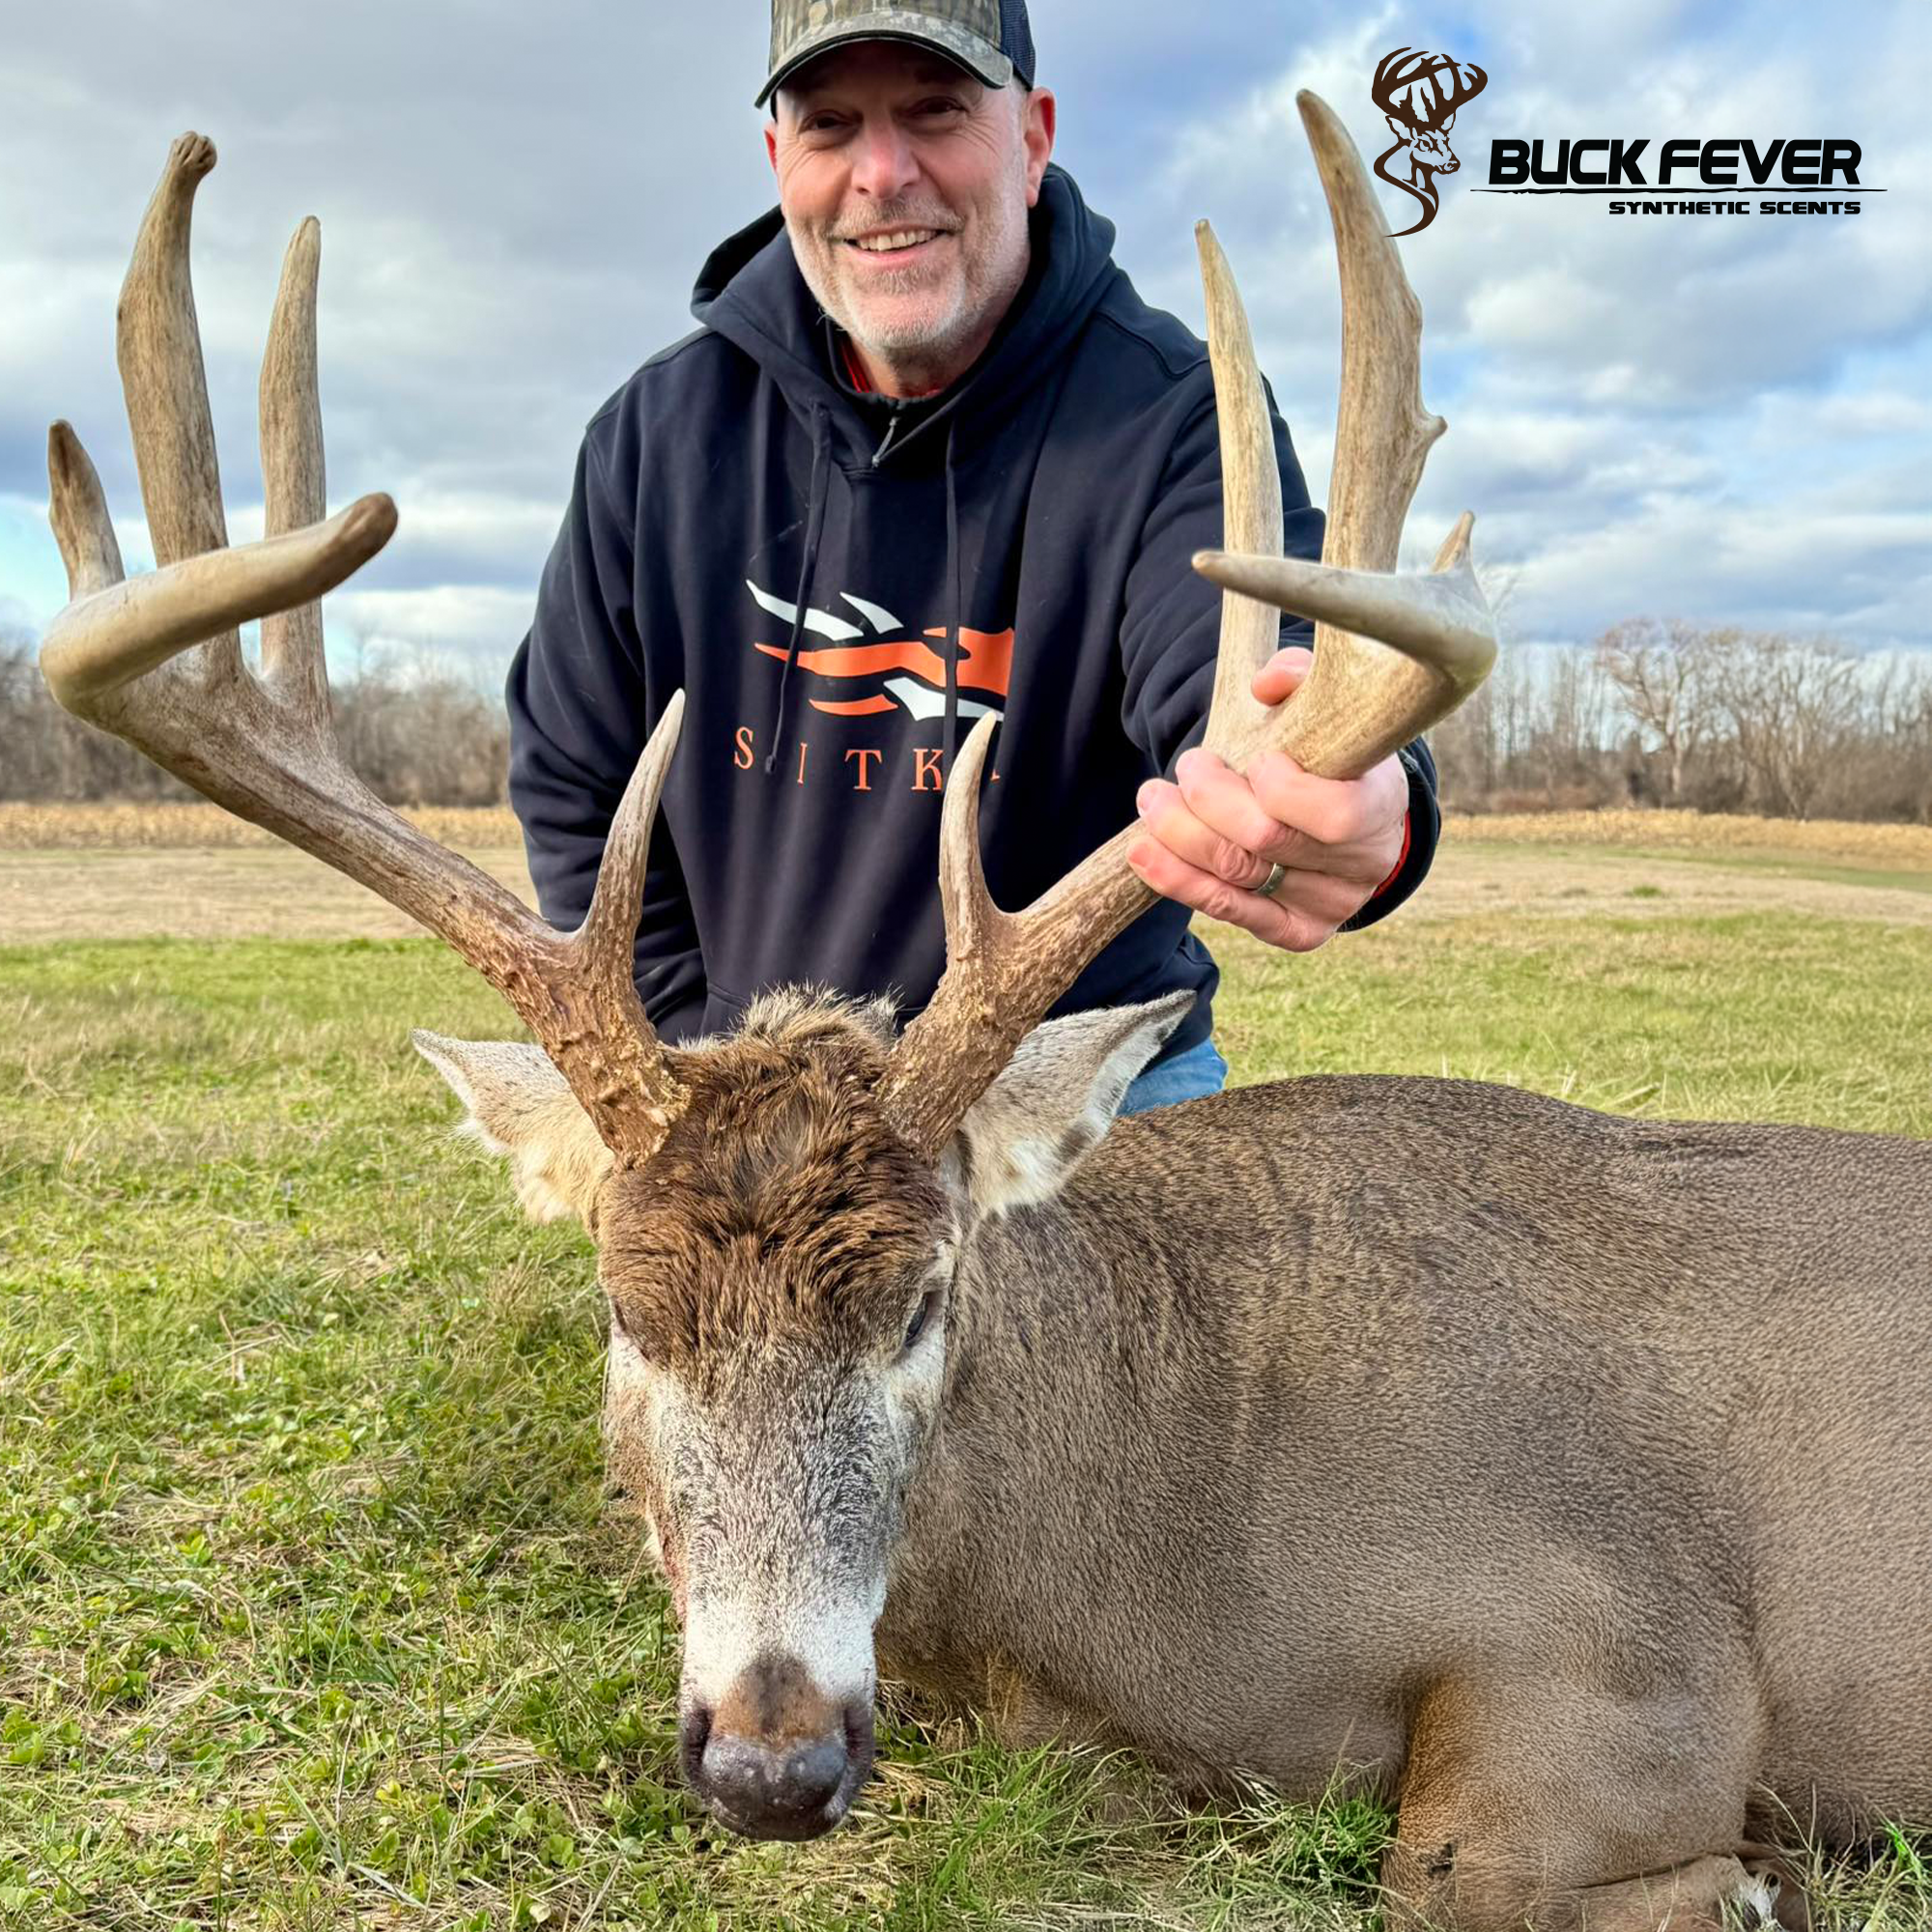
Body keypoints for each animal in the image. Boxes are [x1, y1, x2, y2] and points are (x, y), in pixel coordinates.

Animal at [38, 96, 1932, 1932]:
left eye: (923, 1302)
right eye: (623, 1316)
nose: (773, 1760)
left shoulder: (1632, 1650)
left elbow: (1460, 1868)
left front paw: (1761, 1878)